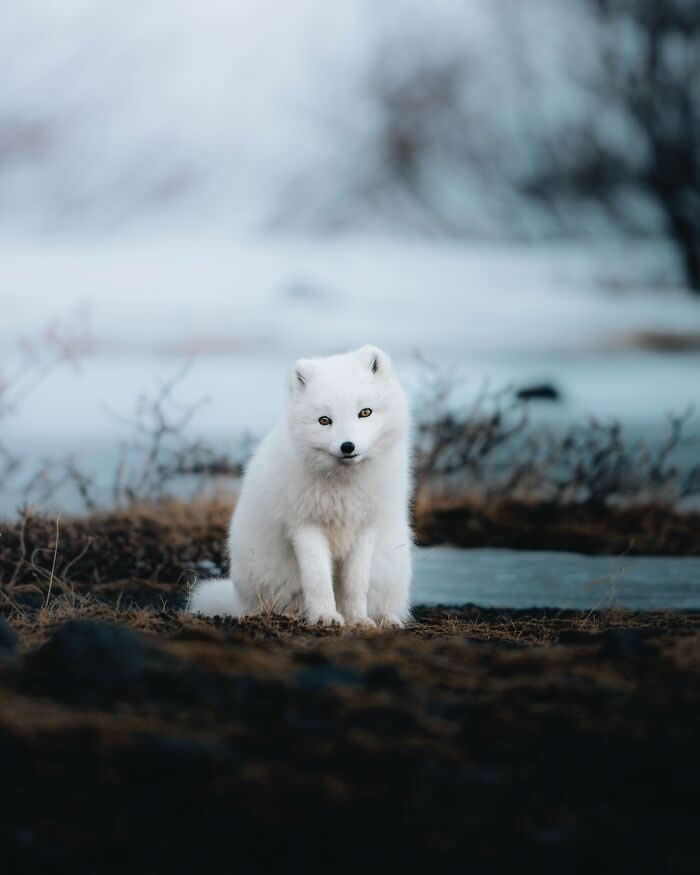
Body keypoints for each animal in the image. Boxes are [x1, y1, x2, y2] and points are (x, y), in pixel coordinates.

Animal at [188, 344, 412, 628]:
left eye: (365, 412)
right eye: (324, 420)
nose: (347, 446)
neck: (343, 488)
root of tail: (239, 600)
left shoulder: (365, 528)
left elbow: (356, 584)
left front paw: (357, 620)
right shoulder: (305, 525)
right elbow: (318, 580)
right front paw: (325, 616)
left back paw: (386, 619)